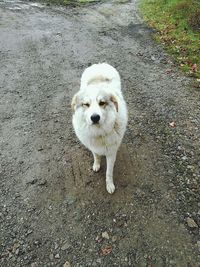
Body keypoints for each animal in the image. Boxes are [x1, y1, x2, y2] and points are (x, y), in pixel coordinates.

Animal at [72, 64, 127, 195]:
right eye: (86, 104)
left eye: (102, 103)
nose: (95, 117)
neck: (99, 131)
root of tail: (99, 65)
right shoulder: (93, 146)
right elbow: (96, 156)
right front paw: (96, 165)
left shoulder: (111, 153)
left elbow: (108, 173)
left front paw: (109, 185)